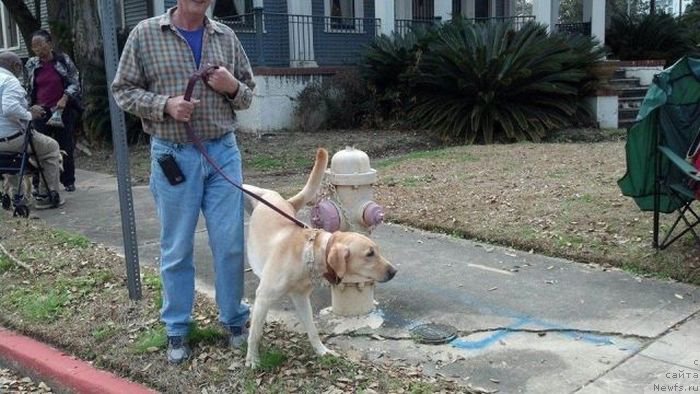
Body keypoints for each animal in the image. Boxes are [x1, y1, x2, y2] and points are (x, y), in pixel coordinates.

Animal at [243, 149, 396, 370]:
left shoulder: (301, 298)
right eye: (369, 254)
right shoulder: (263, 297)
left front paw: (322, 351)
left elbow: (312, 330)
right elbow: (255, 333)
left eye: (377, 250)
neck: (308, 254)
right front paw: (252, 359)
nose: (394, 272)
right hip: (260, 193)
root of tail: (285, 201)